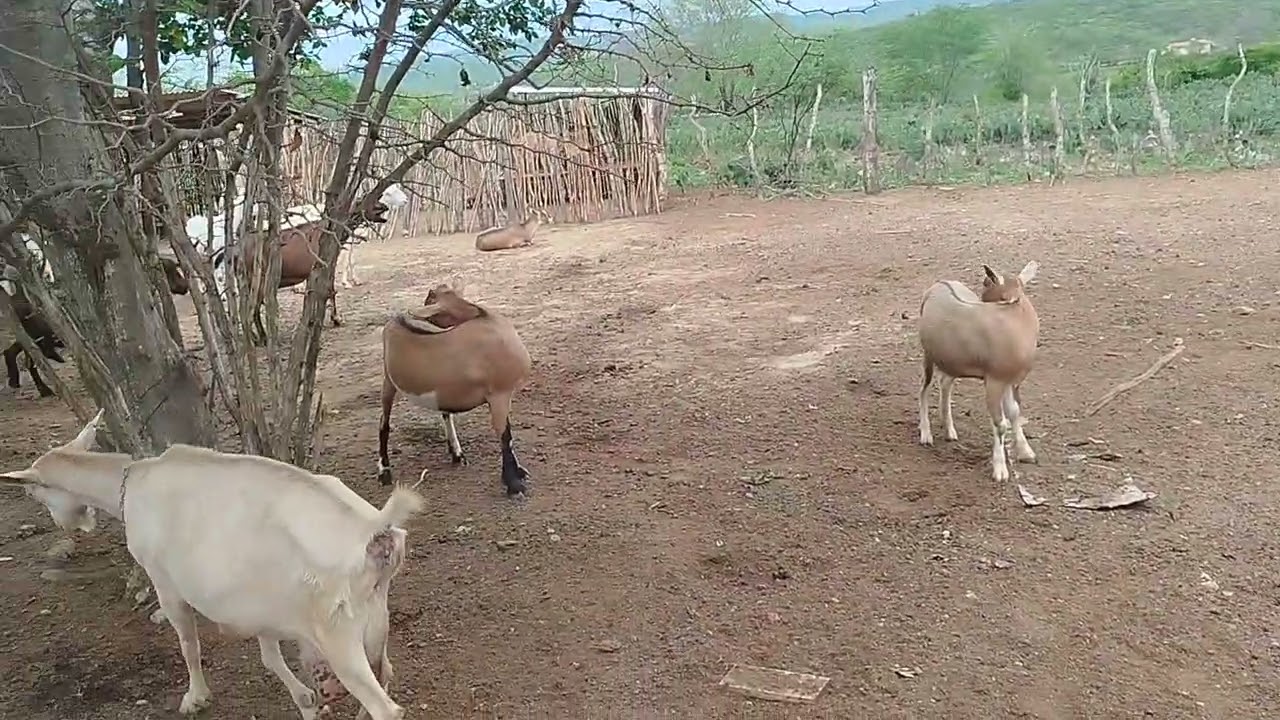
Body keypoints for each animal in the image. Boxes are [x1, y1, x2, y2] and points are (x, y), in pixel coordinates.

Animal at [0, 410, 424, 720]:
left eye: (32, 490)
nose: (64, 523)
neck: (129, 484)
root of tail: (374, 533)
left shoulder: (164, 582)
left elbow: (188, 643)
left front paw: (196, 697)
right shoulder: (262, 607)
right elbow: (269, 657)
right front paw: (304, 699)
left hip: (338, 633)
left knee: (385, 708)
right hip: (374, 617)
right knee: (386, 673)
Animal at [378, 284, 533, 497]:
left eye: (431, 298)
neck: (483, 317)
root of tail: (395, 321)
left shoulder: (501, 397)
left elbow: (507, 434)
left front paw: (518, 474)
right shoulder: (499, 394)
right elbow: (505, 436)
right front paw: (513, 484)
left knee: (445, 413)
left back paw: (457, 454)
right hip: (388, 380)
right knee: (383, 423)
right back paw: (384, 472)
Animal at [917, 262, 1041, 482]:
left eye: (986, 283)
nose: (983, 299)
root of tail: (938, 285)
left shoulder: (1011, 381)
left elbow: (1015, 413)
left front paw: (1027, 453)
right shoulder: (994, 380)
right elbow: (1000, 424)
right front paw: (1000, 471)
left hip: (951, 360)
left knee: (945, 383)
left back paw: (949, 430)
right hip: (929, 354)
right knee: (924, 387)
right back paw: (926, 434)